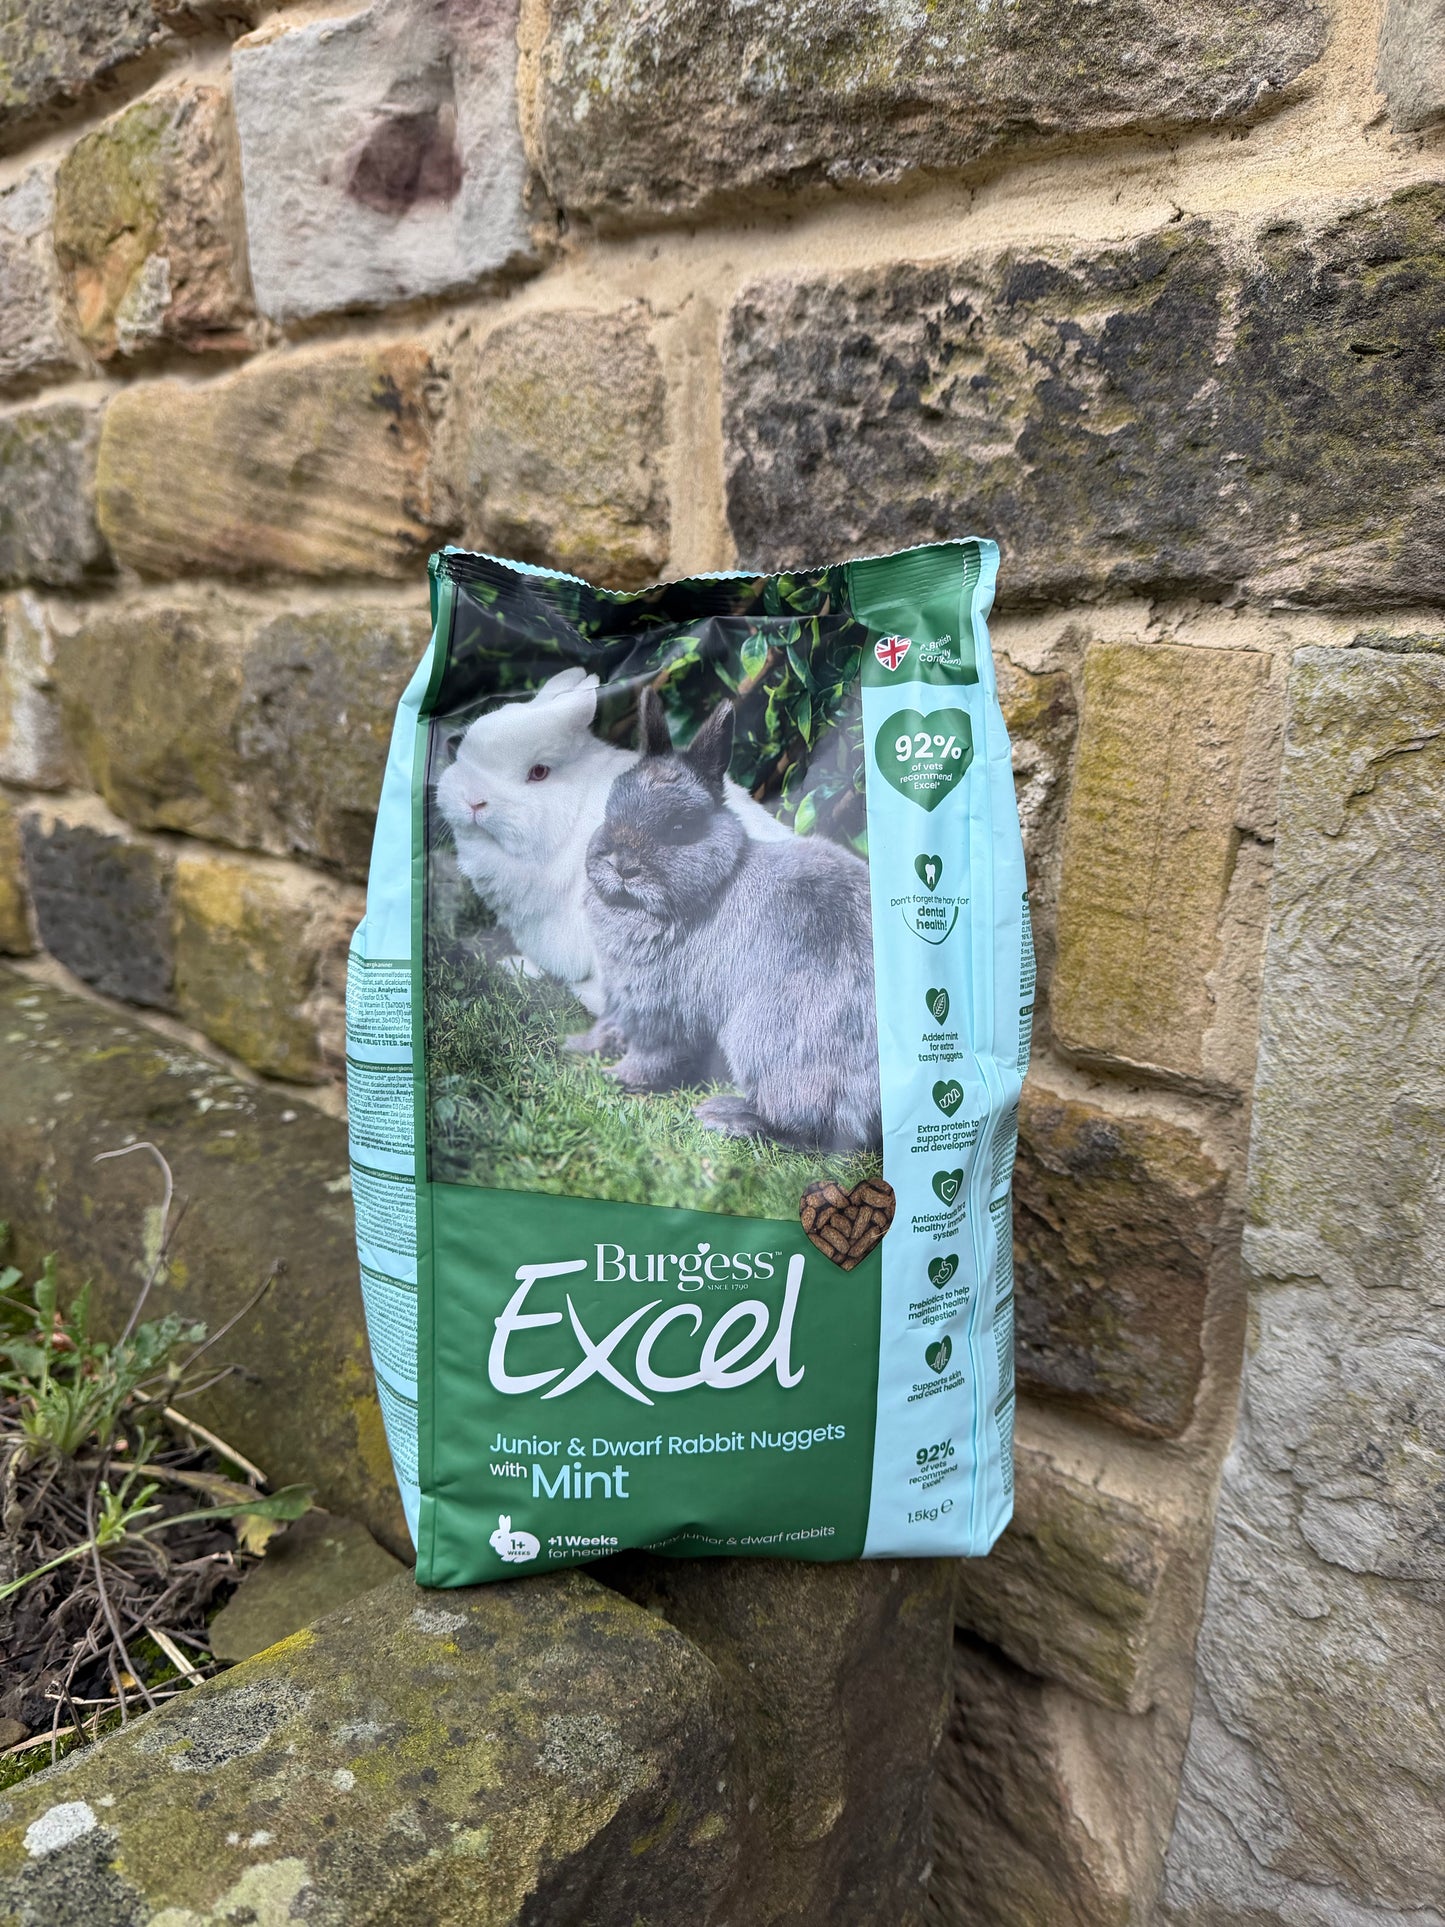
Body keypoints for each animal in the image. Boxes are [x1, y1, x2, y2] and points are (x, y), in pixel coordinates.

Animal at [582, 690, 881, 1153]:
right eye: (610, 810)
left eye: (679, 827)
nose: (622, 866)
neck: (716, 885)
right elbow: (611, 1026)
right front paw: (582, 1045)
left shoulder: (662, 1013)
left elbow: (652, 1058)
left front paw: (615, 1077)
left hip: (767, 1039)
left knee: (805, 1123)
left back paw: (724, 1115)